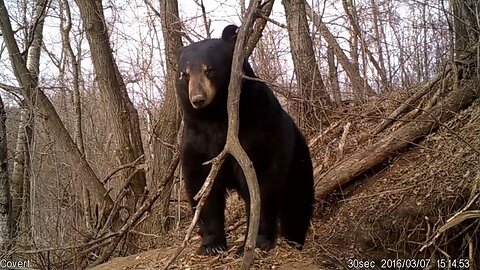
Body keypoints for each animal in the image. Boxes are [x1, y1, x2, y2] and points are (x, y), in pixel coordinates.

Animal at [176, 25, 316, 255]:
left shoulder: (257, 129)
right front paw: (211, 245)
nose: (197, 99)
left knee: (296, 203)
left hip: (298, 163)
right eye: (184, 74)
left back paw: (294, 242)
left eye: (209, 69)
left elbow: (261, 181)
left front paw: (254, 243)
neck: (218, 116)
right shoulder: (196, 137)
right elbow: (201, 184)